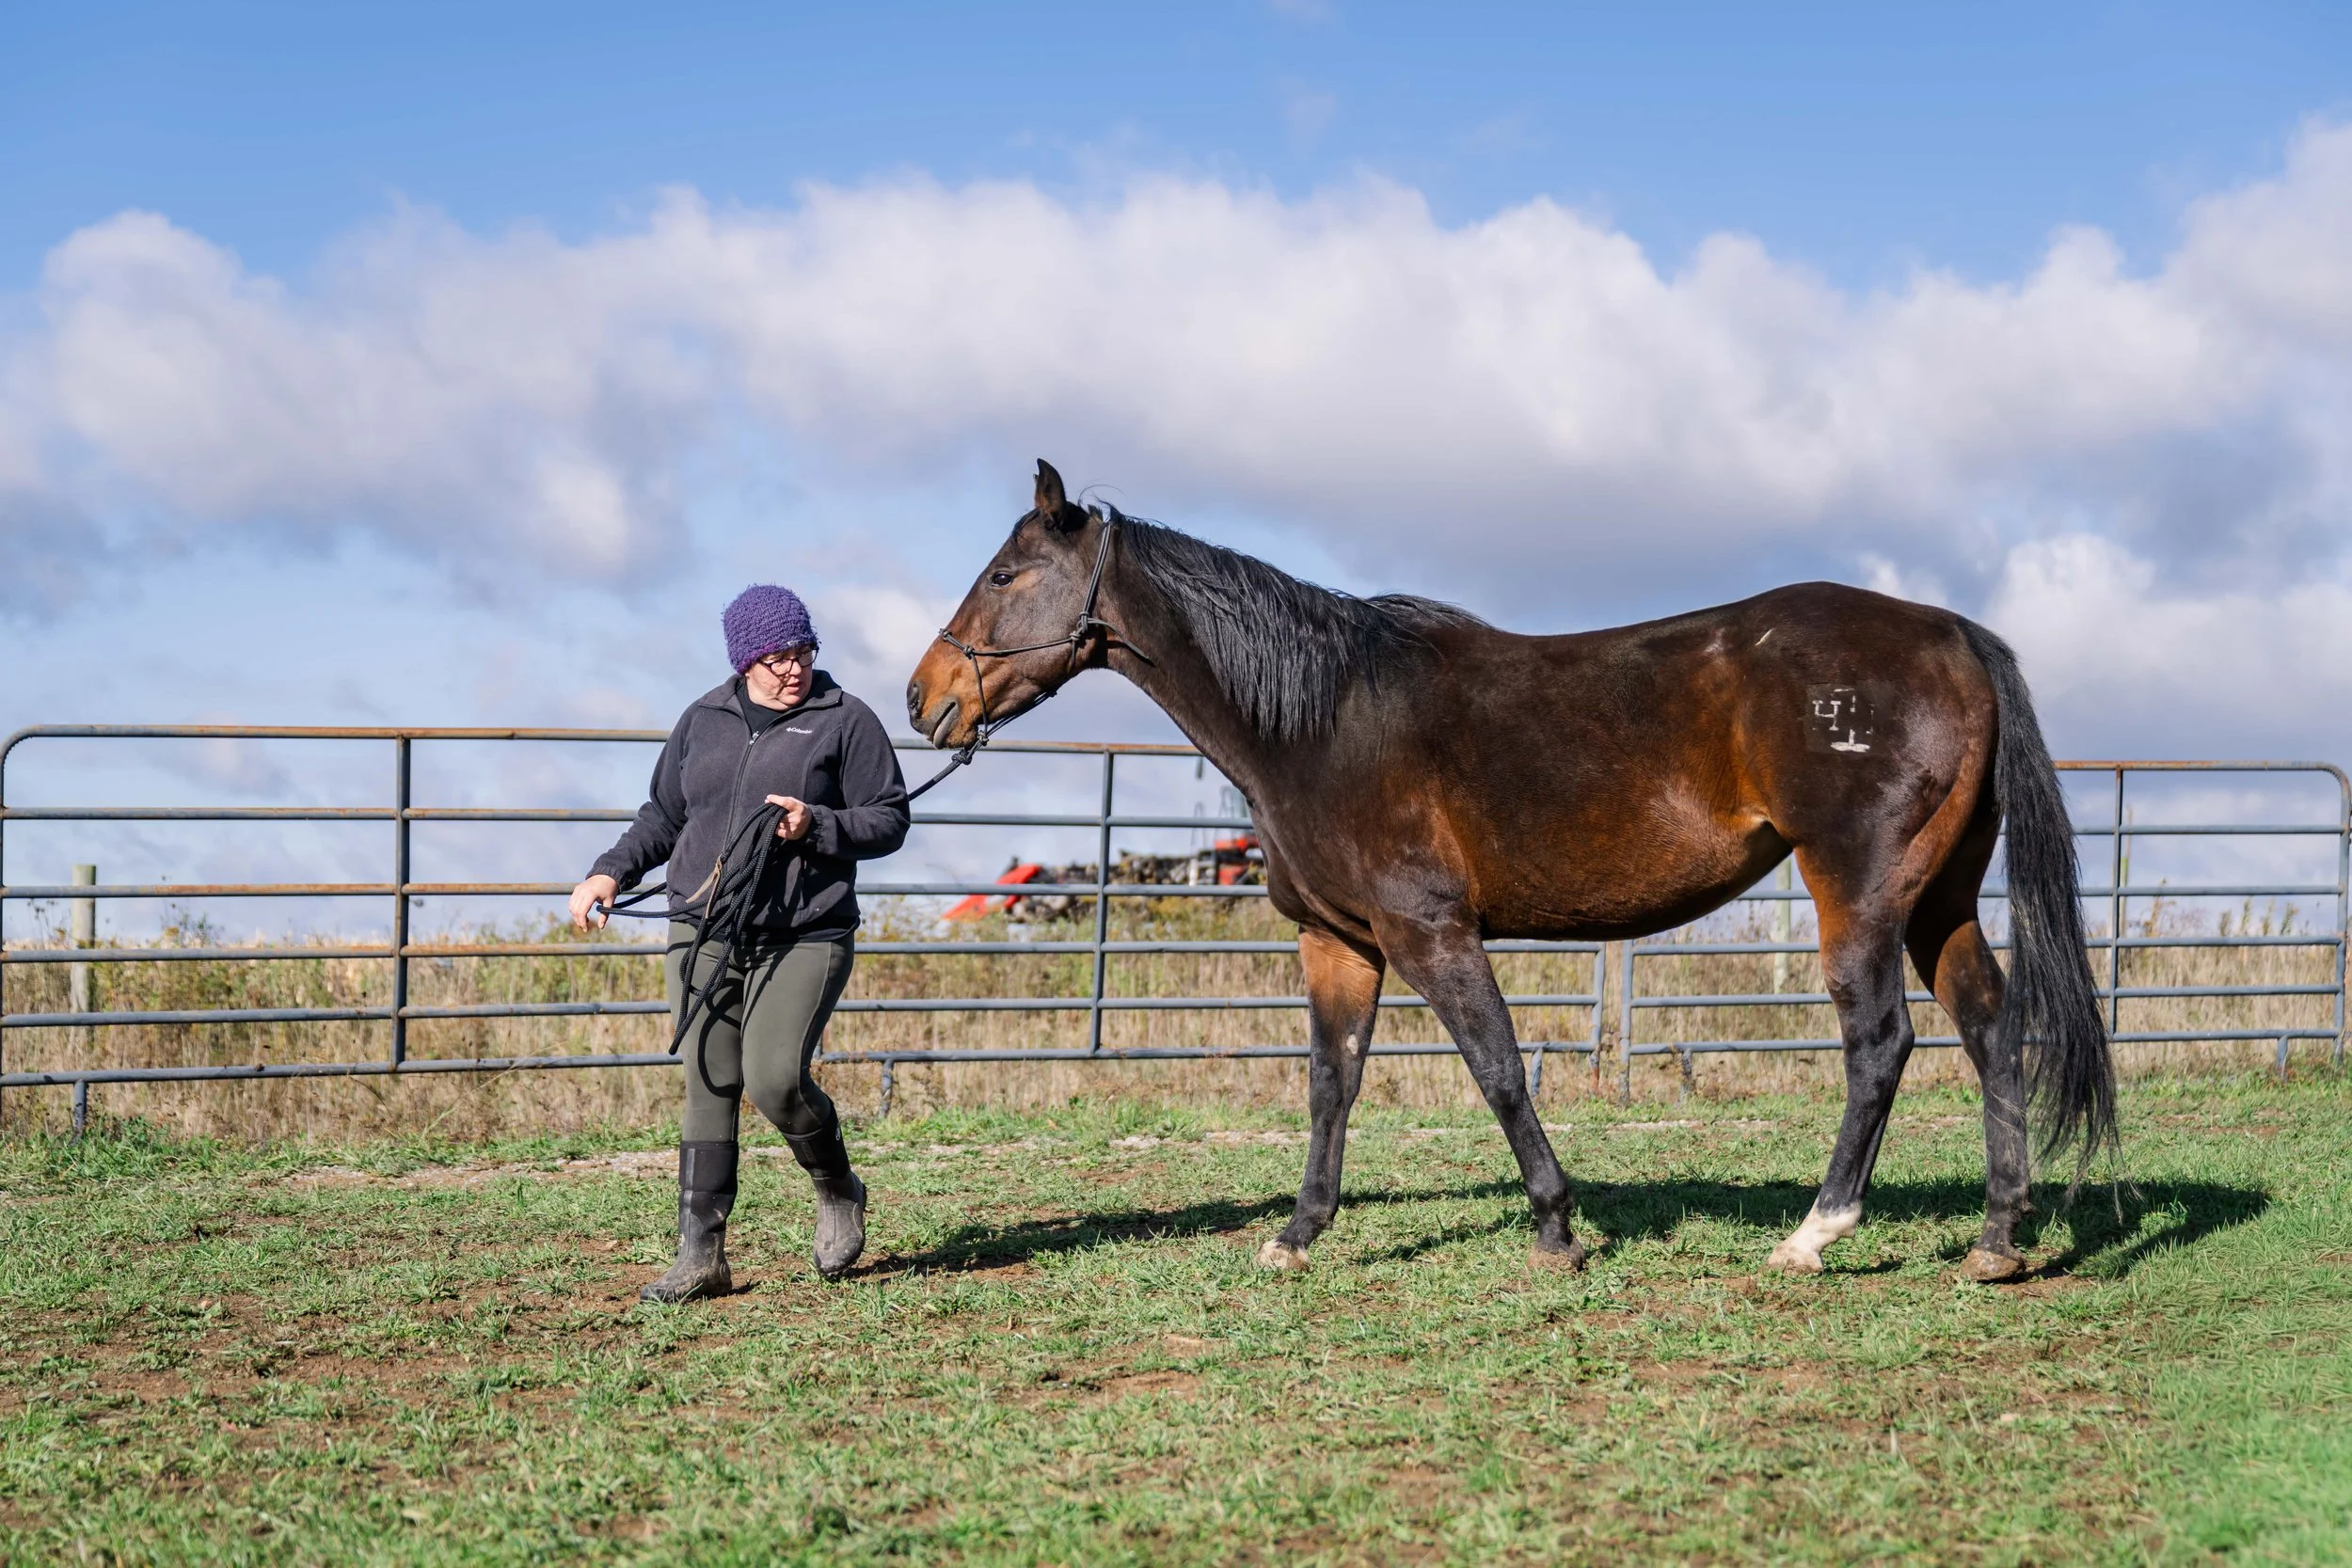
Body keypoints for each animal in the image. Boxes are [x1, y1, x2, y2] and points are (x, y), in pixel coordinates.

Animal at [906, 461, 2114, 1281]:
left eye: (1005, 572)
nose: (926, 698)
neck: (1322, 717)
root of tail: (1951, 634)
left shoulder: (1430, 932)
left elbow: (1496, 1070)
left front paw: (1555, 1226)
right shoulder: (1337, 942)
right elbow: (1331, 1082)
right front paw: (1297, 1233)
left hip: (1854, 890)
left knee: (1880, 1043)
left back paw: (1814, 1231)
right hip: (1936, 894)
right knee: (1989, 1024)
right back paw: (1997, 1238)